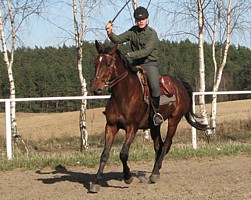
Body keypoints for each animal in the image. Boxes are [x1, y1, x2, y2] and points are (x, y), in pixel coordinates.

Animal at [89, 40, 209, 192]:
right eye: (95, 63)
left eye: (109, 63)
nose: (96, 88)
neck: (124, 95)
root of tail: (180, 84)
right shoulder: (111, 126)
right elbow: (104, 154)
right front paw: (96, 182)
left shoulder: (132, 127)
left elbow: (123, 154)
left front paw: (128, 177)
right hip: (154, 125)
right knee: (159, 146)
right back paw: (155, 171)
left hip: (174, 120)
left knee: (166, 145)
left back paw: (154, 174)